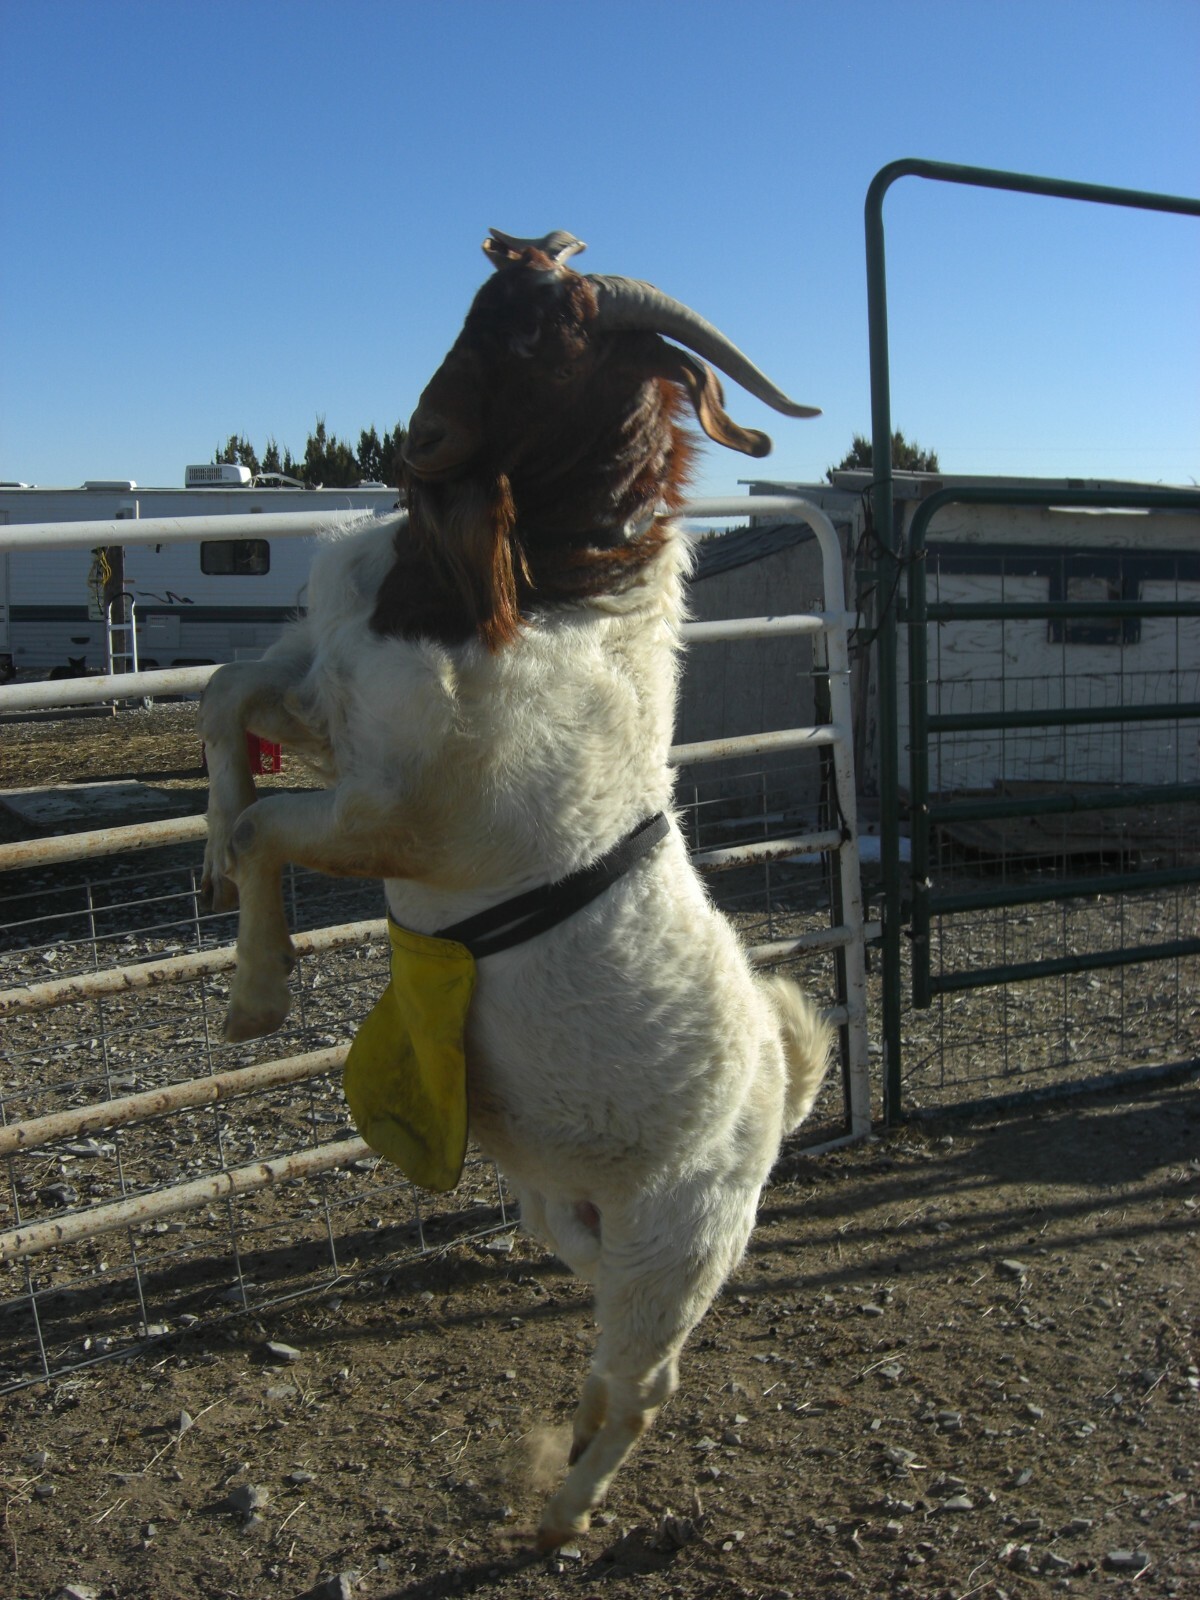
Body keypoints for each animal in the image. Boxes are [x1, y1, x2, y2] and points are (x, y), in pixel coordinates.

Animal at [198, 230, 832, 1546]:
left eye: (552, 338)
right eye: (477, 305)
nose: (419, 440)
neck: (553, 592)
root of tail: (780, 1082)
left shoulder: (403, 817)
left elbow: (278, 824)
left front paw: (257, 996)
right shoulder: (335, 694)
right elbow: (229, 695)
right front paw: (212, 845)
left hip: (675, 1245)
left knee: (649, 1381)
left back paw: (565, 1511)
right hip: (563, 1211)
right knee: (600, 1349)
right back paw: (568, 1449)